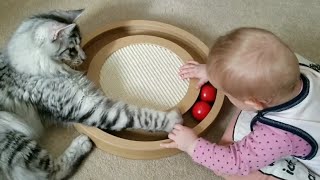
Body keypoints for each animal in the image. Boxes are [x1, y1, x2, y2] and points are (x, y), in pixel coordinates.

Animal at [0, 9, 182, 180]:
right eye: (72, 49)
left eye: (80, 44)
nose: (84, 57)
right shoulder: (86, 106)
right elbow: (134, 115)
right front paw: (172, 120)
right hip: (14, 138)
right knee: (49, 173)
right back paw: (82, 144)